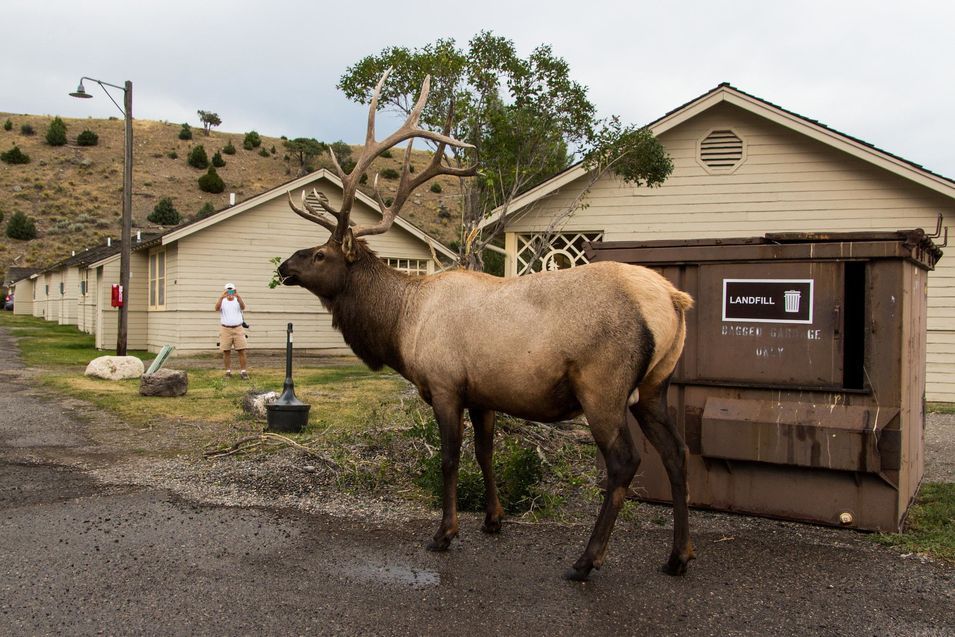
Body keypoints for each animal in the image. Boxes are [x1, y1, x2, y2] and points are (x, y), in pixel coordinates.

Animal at [276, 71, 696, 580]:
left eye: (320, 254)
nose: (283, 266)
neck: (401, 325)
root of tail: (673, 300)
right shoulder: (482, 392)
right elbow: (486, 452)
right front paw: (494, 519)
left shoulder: (444, 384)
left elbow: (450, 458)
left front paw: (444, 532)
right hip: (656, 385)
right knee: (677, 453)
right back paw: (678, 556)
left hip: (603, 384)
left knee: (624, 462)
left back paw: (586, 560)